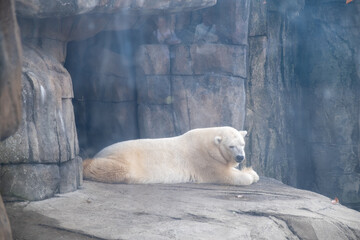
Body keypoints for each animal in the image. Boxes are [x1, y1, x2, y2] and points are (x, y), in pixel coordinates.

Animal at [83, 127, 258, 186]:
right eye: (231, 146)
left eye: (242, 144)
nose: (240, 158)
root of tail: (101, 152)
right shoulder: (203, 161)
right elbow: (225, 175)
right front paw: (249, 176)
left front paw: (252, 172)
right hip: (124, 160)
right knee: (114, 169)